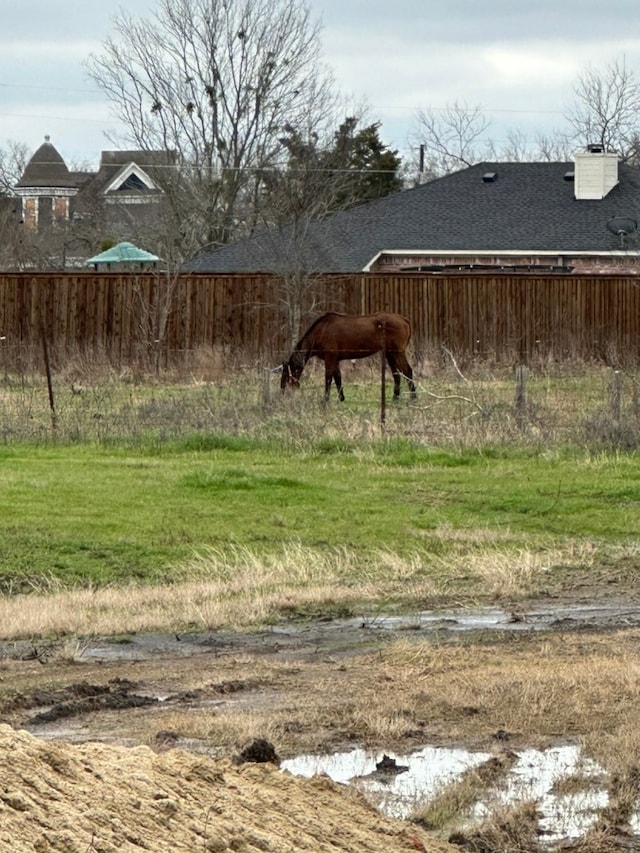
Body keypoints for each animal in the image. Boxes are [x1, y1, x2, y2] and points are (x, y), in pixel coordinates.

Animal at [280, 312, 416, 402]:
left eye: (285, 375)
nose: (282, 394)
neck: (321, 331)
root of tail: (403, 319)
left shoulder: (330, 358)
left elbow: (328, 378)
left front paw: (325, 400)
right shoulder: (335, 360)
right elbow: (338, 379)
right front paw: (341, 398)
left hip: (397, 352)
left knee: (407, 371)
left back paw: (413, 397)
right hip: (390, 353)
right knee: (396, 374)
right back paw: (395, 398)